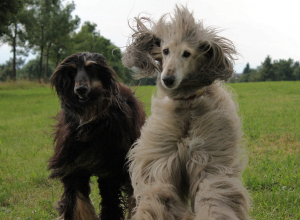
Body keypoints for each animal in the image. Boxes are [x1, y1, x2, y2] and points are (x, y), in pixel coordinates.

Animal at [47, 52, 145, 220]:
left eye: (91, 68)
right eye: (71, 71)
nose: (81, 89)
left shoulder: (110, 170)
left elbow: (111, 204)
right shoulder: (74, 168)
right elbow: (77, 206)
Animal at [122, 5, 251, 220]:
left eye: (187, 53)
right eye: (165, 51)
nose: (168, 79)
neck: (187, 107)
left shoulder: (209, 160)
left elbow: (213, 195)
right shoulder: (161, 159)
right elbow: (160, 194)